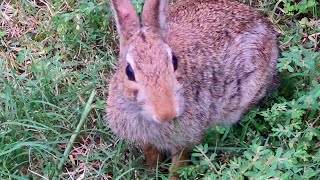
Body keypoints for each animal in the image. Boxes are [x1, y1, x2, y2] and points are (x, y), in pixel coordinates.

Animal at [106, 0, 278, 175]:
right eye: (129, 72)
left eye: (174, 61)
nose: (166, 114)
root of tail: (265, 26)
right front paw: (152, 171)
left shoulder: (186, 139)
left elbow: (179, 164)